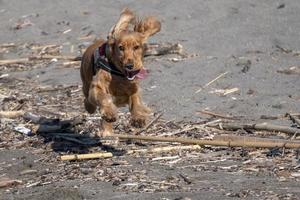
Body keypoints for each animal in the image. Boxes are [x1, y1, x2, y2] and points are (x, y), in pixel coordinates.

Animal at [79, 8, 159, 137]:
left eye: (136, 47)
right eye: (121, 48)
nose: (130, 66)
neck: (119, 75)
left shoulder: (133, 87)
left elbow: (136, 100)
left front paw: (139, 118)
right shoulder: (97, 87)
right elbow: (104, 98)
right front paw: (109, 114)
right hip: (86, 85)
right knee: (88, 100)